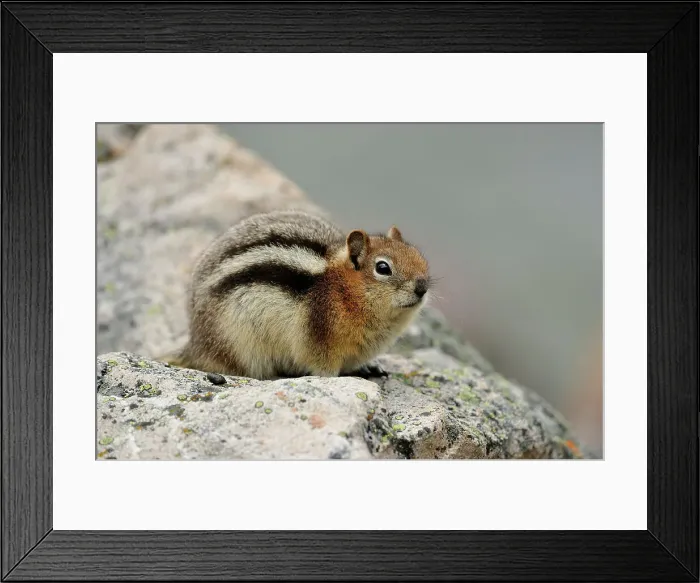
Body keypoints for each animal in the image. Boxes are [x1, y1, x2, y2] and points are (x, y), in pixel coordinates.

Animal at [172, 209, 431, 380]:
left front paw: (369, 367)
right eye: (383, 268)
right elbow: (324, 370)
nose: (422, 287)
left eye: (417, 255)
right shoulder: (321, 341)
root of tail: (196, 343)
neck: (343, 289)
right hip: (237, 344)